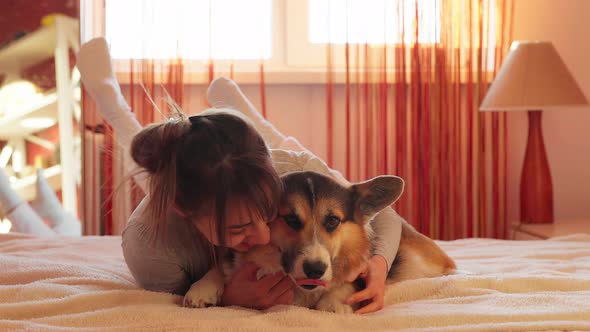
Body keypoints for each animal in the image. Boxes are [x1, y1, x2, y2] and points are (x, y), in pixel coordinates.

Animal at [185, 170, 458, 312]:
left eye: (333, 221)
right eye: (291, 219)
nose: (315, 269)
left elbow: (344, 286)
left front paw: (332, 305)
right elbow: (220, 268)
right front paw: (201, 288)